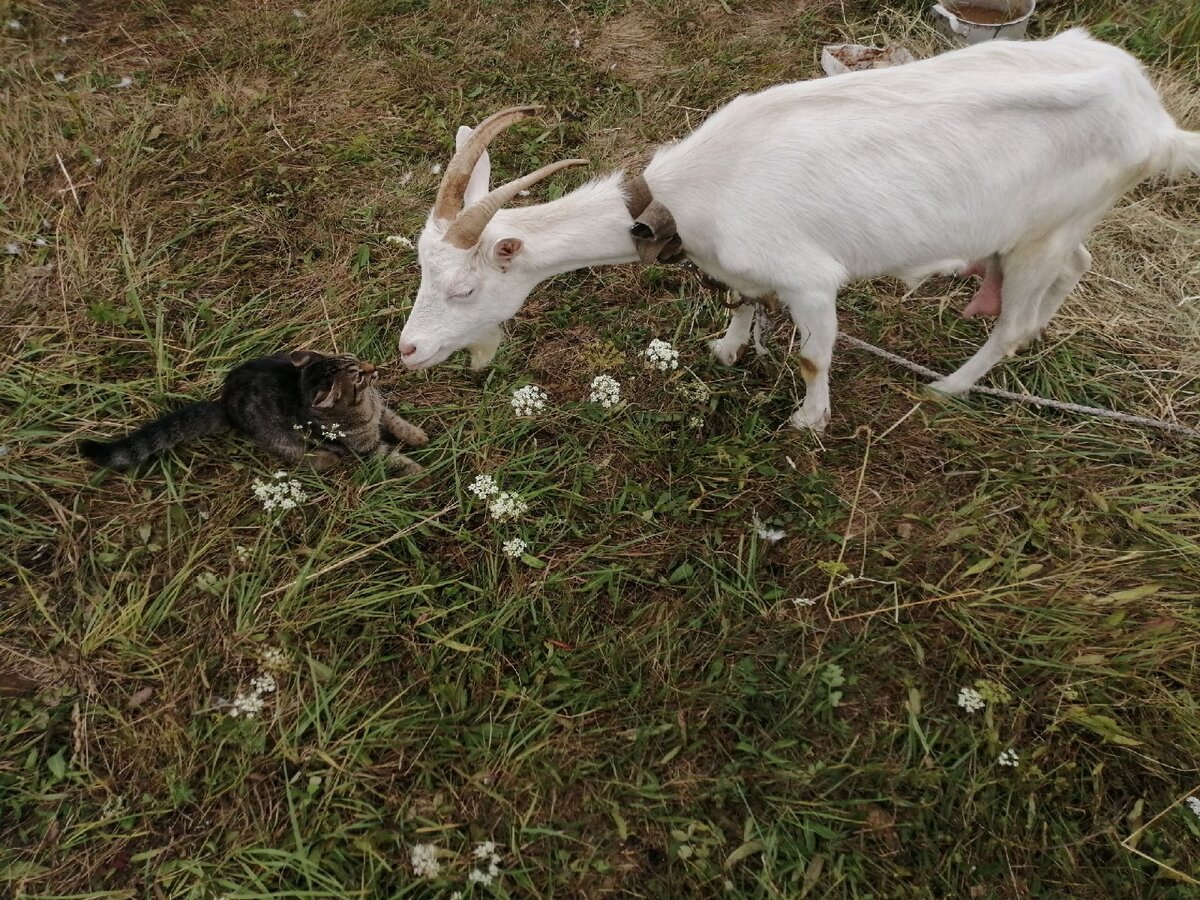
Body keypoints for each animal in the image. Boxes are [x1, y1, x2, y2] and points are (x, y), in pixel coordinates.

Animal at [81, 350, 427, 472]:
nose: (374, 367)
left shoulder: (382, 411)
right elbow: (391, 457)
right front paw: (418, 471)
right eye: (357, 376)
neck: (364, 407)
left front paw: (416, 435)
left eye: (355, 359)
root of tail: (224, 402)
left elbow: (397, 421)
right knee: (295, 456)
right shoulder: (367, 449)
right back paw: (324, 459)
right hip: (280, 437)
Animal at [398, 30, 1200, 432]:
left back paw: (949, 387)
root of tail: (1154, 118)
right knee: (1077, 266)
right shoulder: (743, 269)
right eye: (422, 271)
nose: (406, 351)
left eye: (464, 287)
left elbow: (815, 356)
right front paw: (727, 349)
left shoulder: (812, 282)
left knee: (1016, 323)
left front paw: (808, 423)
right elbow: (743, 302)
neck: (684, 196)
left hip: (1044, 231)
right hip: (1060, 224)